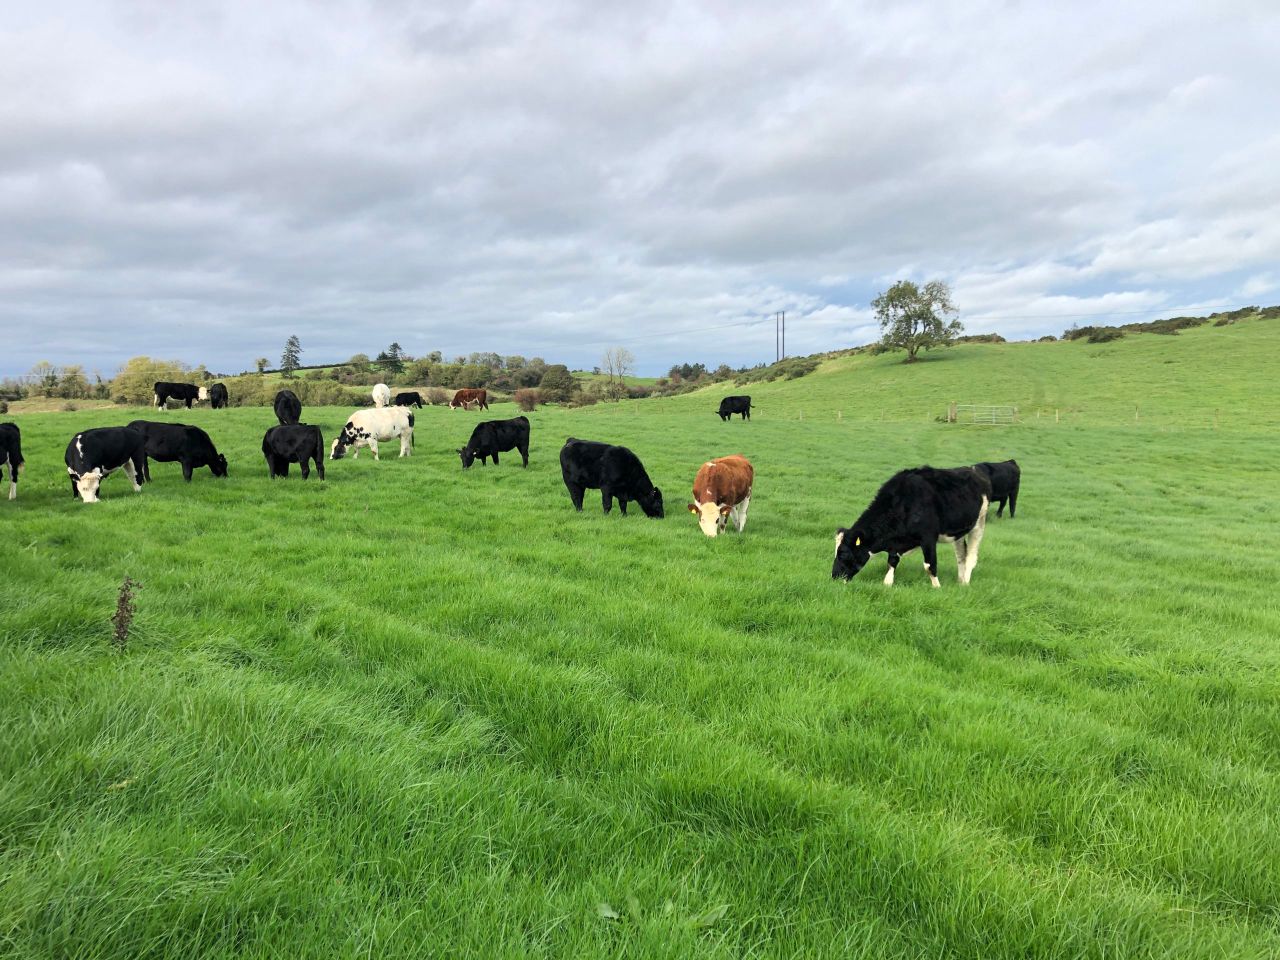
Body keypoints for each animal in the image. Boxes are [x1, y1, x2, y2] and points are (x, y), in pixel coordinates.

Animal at [832, 466, 991, 588]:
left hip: (979, 523)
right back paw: (960, 580)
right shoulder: (895, 542)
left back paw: (965, 583)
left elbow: (929, 565)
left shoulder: (928, 537)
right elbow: (892, 561)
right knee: (961, 555)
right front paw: (887, 584)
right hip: (958, 533)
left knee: (971, 556)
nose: (834, 577)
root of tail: (974, 471)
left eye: (843, 553)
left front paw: (937, 587)